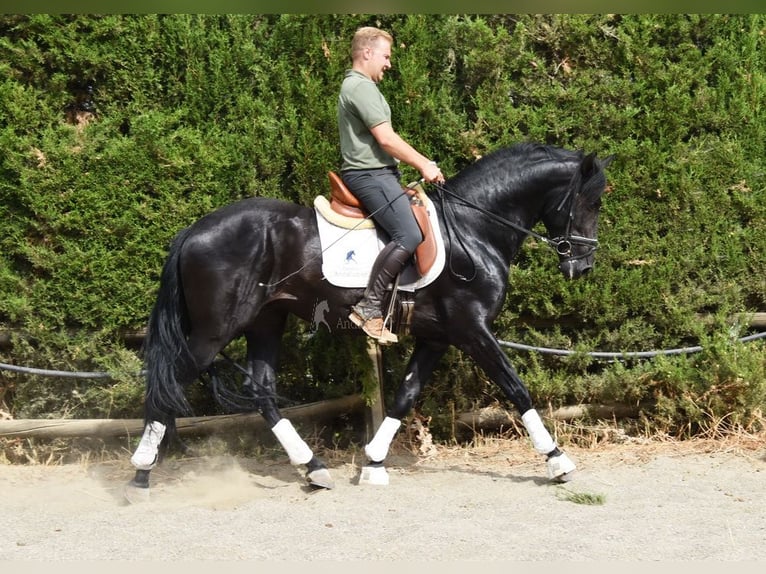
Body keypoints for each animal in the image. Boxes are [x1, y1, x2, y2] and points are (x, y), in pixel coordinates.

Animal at [126, 142, 613, 493]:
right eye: (590, 203)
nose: (584, 267)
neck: (473, 230)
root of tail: (194, 230)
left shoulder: (437, 337)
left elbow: (405, 396)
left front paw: (374, 463)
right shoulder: (472, 329)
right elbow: (516, 388)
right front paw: (557, 460)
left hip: (266, 321)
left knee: (261, 391)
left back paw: (313, 469)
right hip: (215, 329)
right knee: (168, 383)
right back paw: (141, 472)